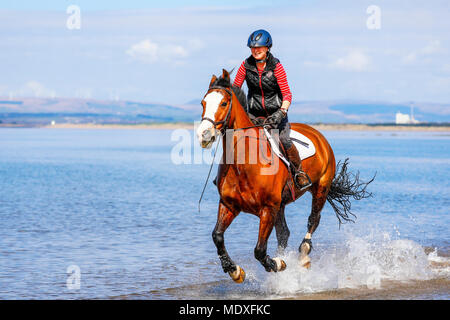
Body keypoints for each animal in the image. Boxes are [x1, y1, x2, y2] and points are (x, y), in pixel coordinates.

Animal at [197, 69, 372, 282]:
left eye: (223, 103)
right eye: (203, 103)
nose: (204, 135)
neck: (244, 163)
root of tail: (318, 134)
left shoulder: (268, 209)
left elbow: (259, 250)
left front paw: (278, 263)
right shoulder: (230, 205)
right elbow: (217, 236)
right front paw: (234, 270)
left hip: (320, 189)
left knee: (313, 219)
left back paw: (303, 255)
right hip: (281, 205)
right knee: (284, 233)